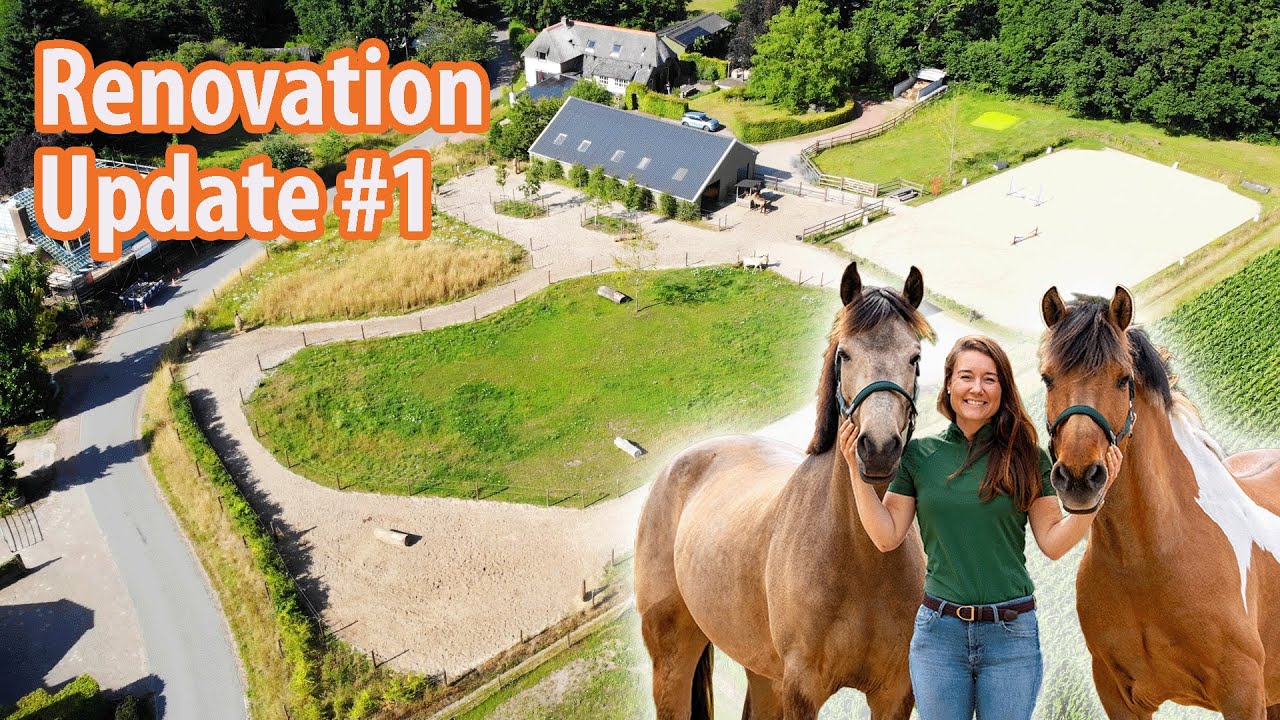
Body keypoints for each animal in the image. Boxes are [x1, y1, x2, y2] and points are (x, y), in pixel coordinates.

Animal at [634, 262, 934, 720]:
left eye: (914, 357)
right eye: (845, 354)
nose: (878, 447)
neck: (861, 558)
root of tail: (675, 465)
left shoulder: (896, 693)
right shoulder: (800, 692)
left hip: (763, 672)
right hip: (672, 658)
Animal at [1039, 286, 1280, 719]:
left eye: (1123, 379)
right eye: (1048, 379)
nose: (1079, 479)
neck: (1146, 560)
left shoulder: (1243, 694)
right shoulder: (1119, 697)